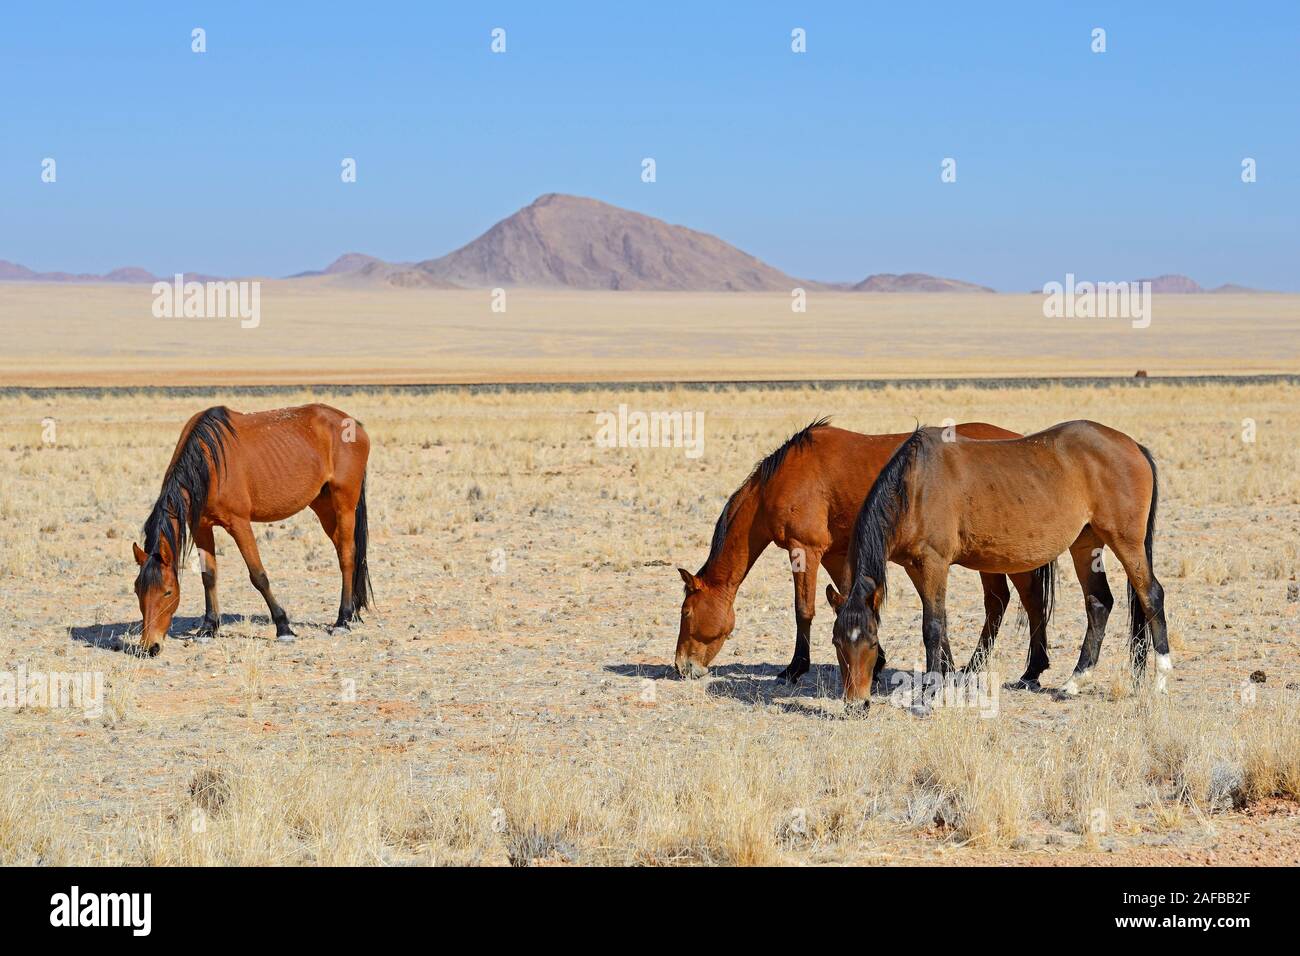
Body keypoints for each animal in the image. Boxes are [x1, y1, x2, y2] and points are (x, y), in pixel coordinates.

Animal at [129, 403, 374, 658]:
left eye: (167, 592)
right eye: (137, 590)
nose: (149, 647)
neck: (208, 463)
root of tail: (353, 423)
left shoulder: (239, 524)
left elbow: (258, 576)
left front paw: (283, 627)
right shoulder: (201, 526)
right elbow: (209, 576)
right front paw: (208, 628)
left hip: (344, 504)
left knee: (347, 556)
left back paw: (343, 620)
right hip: (323, 505)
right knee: (344, 550)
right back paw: (353, 613)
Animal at [670, 418, 1066, 681]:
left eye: (686, 613)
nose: (682, 666)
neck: (781, 479)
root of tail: (1023, 442)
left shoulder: (805, 550)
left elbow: (804, 610)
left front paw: (795, 668)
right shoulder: (836, 553)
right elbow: (846, 598)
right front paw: (877, 662)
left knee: (1022, 600)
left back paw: (1027, 669)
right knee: (1002, 602)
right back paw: (978, 666)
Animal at [826, 421, 1175, 707]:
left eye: (872, 643)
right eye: (837, 642)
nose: (855, 704)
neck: (915, 486)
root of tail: (1133, 445)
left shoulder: (933, 563)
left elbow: (932, 626)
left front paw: (930, 691)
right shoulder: (915, 566)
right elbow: (940, 622)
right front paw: (947, 676)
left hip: (1126, 542)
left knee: (1151, 595)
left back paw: (1160, 679)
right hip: (1085, 544)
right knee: (1099, 603)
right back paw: (1074, 681)